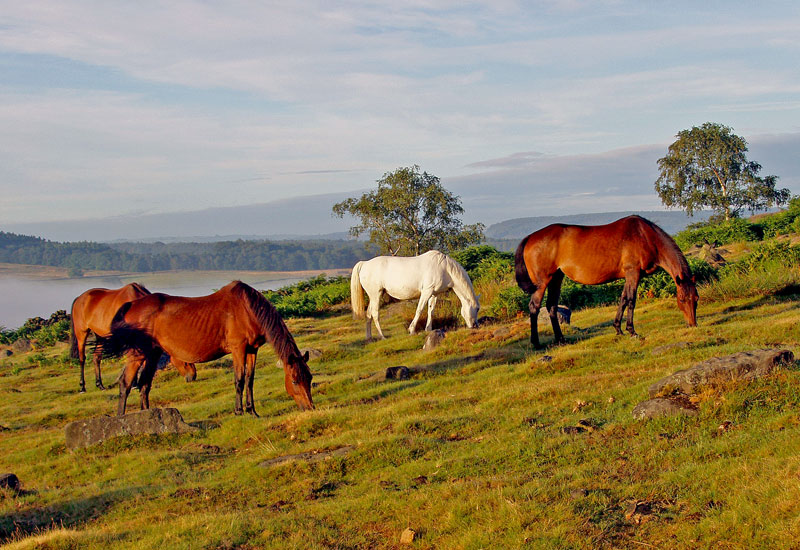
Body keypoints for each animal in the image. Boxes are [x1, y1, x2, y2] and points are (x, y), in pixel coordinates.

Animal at [108, 282, 314, 416]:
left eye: (310, 378)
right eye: (294, 381)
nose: (310, 408)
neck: (248, 309)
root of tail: (131, 305)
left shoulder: (251, 350)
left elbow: (250, 380)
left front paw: (252, 411)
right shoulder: (238, 349)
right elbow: (239, 380)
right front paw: (239, 411)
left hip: (153, 353)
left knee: (144, 384)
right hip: (137, 354)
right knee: (125, 383)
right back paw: (122, 419)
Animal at [352, 251, 482, 340]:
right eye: (477, 308)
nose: (475, 326)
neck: (445, 268)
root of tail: (364, 264)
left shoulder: (434, 294)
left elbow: (431, 311)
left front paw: (428, 329)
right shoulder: (426, 292)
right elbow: (419, 310)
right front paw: (412, 330)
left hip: (373, 296)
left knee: (368, 314)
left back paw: (369, 337)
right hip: (376, 295)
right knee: (374, 314)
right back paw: (382, 336)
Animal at [516, 216, 696, 350]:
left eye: (696, 299)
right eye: (681, 300)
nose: (693, 324)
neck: (645, 236)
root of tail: (530, 238)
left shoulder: (629, 276)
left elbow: (623, 299)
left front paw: (618, 329)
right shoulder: (633, 272)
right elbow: (631, 300)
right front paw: (632, 331)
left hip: (556, 278)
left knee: (552, 306)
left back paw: (561, 339)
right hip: (543, 282)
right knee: (534, 306)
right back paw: (536, 343)